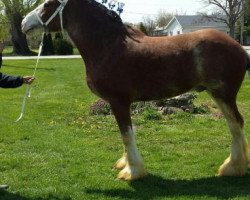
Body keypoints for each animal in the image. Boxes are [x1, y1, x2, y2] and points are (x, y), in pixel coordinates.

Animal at [22, 0, 249, 180]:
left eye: (48, 4)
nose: (24, 23)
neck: (108, 46)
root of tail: (238, 47)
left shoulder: (119, 102)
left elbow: (126, 134)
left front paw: (133, 172)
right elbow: (124, 135)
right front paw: (125, 163)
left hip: (223, 95)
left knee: (235, 124)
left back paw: (232, 167)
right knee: (235, 124)